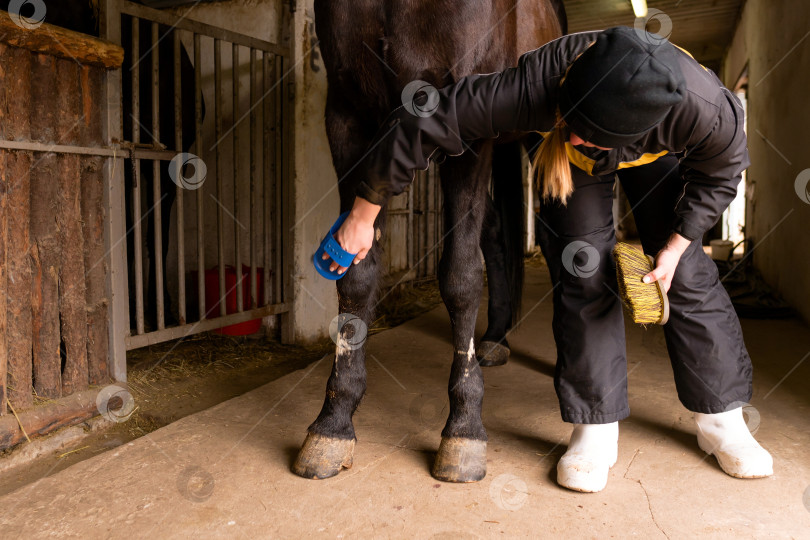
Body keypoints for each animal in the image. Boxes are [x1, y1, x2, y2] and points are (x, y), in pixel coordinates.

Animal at [294, 0, 564, 480]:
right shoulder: (349, 119)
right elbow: (357, 274)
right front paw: (333, 424)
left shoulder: (471, 128)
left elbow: (460, 277)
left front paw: (464, 429)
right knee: (495, 234)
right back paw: (495, 337)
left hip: (535, 136)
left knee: (549, 239)